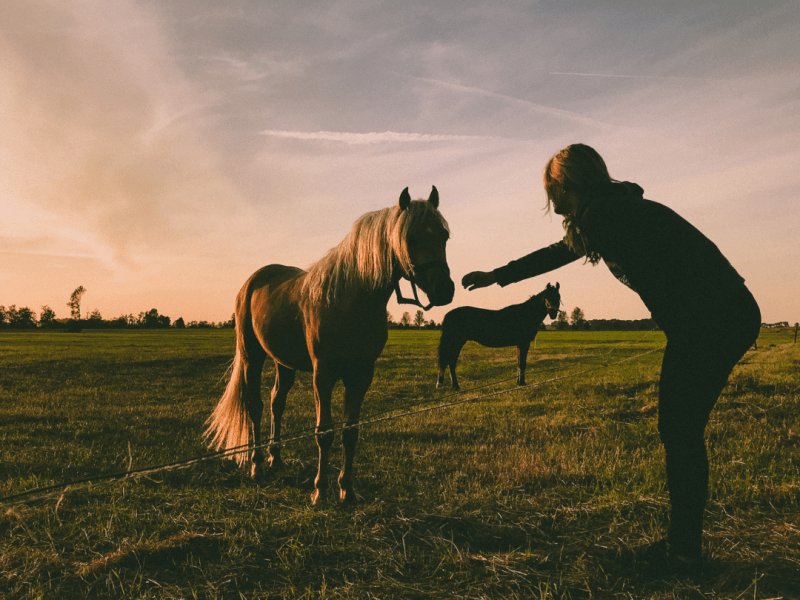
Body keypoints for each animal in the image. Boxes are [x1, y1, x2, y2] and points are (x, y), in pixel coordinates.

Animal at [205, 187, 454, 505]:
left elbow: (350, 432)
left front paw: (346, 490)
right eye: (410, 237)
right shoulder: (322, 375)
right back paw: (257, 465)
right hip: (252, 357)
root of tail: (252, 282)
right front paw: (320, 491)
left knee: (276, 403)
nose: (445, 289)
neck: (351, 299)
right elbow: (324, 432)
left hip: (283, 363)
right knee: (255, 406)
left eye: (444, 236)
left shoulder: (361, 375)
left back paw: (275, 459)